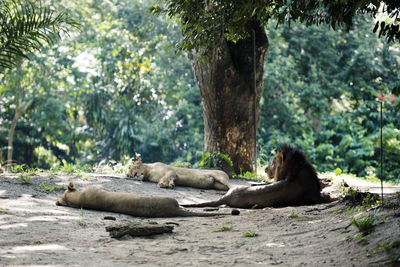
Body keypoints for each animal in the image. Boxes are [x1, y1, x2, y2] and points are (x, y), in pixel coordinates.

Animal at [183, 146, 332, 210]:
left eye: (272, 162)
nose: (265, 169)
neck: (296, 168)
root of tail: (227, 197)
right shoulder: (316, 197)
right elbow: (329, 196)